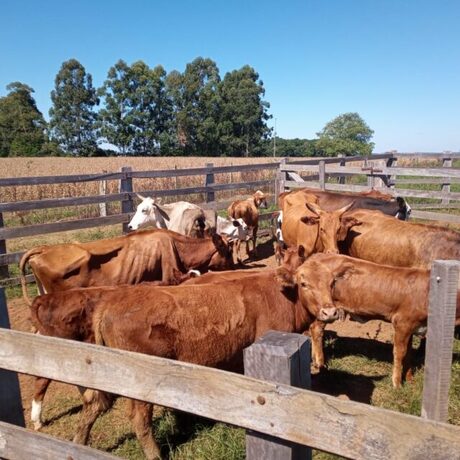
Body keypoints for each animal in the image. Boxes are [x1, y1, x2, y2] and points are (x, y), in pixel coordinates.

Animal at [280, 253, 460, 386]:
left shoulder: (412, 327)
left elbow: (409, 353)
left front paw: (409, 379)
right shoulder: (402, 323)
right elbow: (399, 353)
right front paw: (397, 384)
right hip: (324, 311)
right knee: (316, 330)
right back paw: (320, 363)